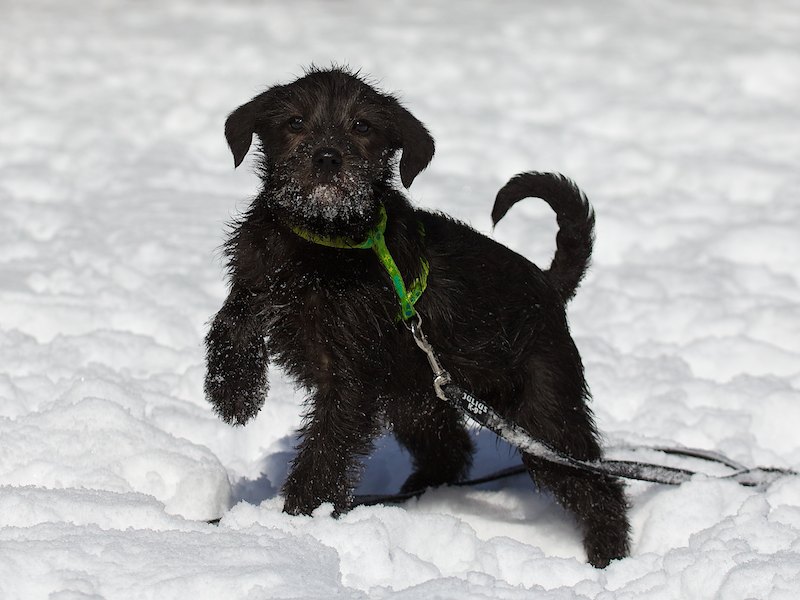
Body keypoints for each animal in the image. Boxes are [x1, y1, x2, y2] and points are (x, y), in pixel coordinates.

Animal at [205, 66, 630, 567]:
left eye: (362, 126)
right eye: (294, 122)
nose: (327, 158)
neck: (321, 244)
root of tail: (548, 285)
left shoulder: (348, 377)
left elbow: (326, 450)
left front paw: (298, 519)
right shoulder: (258, 272)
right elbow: (233, 316)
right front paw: (233, 391)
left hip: (544, 412)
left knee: (597, 483)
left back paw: (609, 557)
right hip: (419, 399)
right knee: (452, 450)